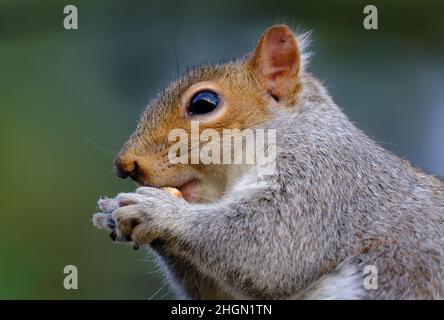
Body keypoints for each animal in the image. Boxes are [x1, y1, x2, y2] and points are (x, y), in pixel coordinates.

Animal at [92, 25, 442, 300]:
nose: (125, 166)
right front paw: (113, 211)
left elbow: (272, 249)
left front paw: (156, 210)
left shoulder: (322, 181)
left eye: (204, 103)